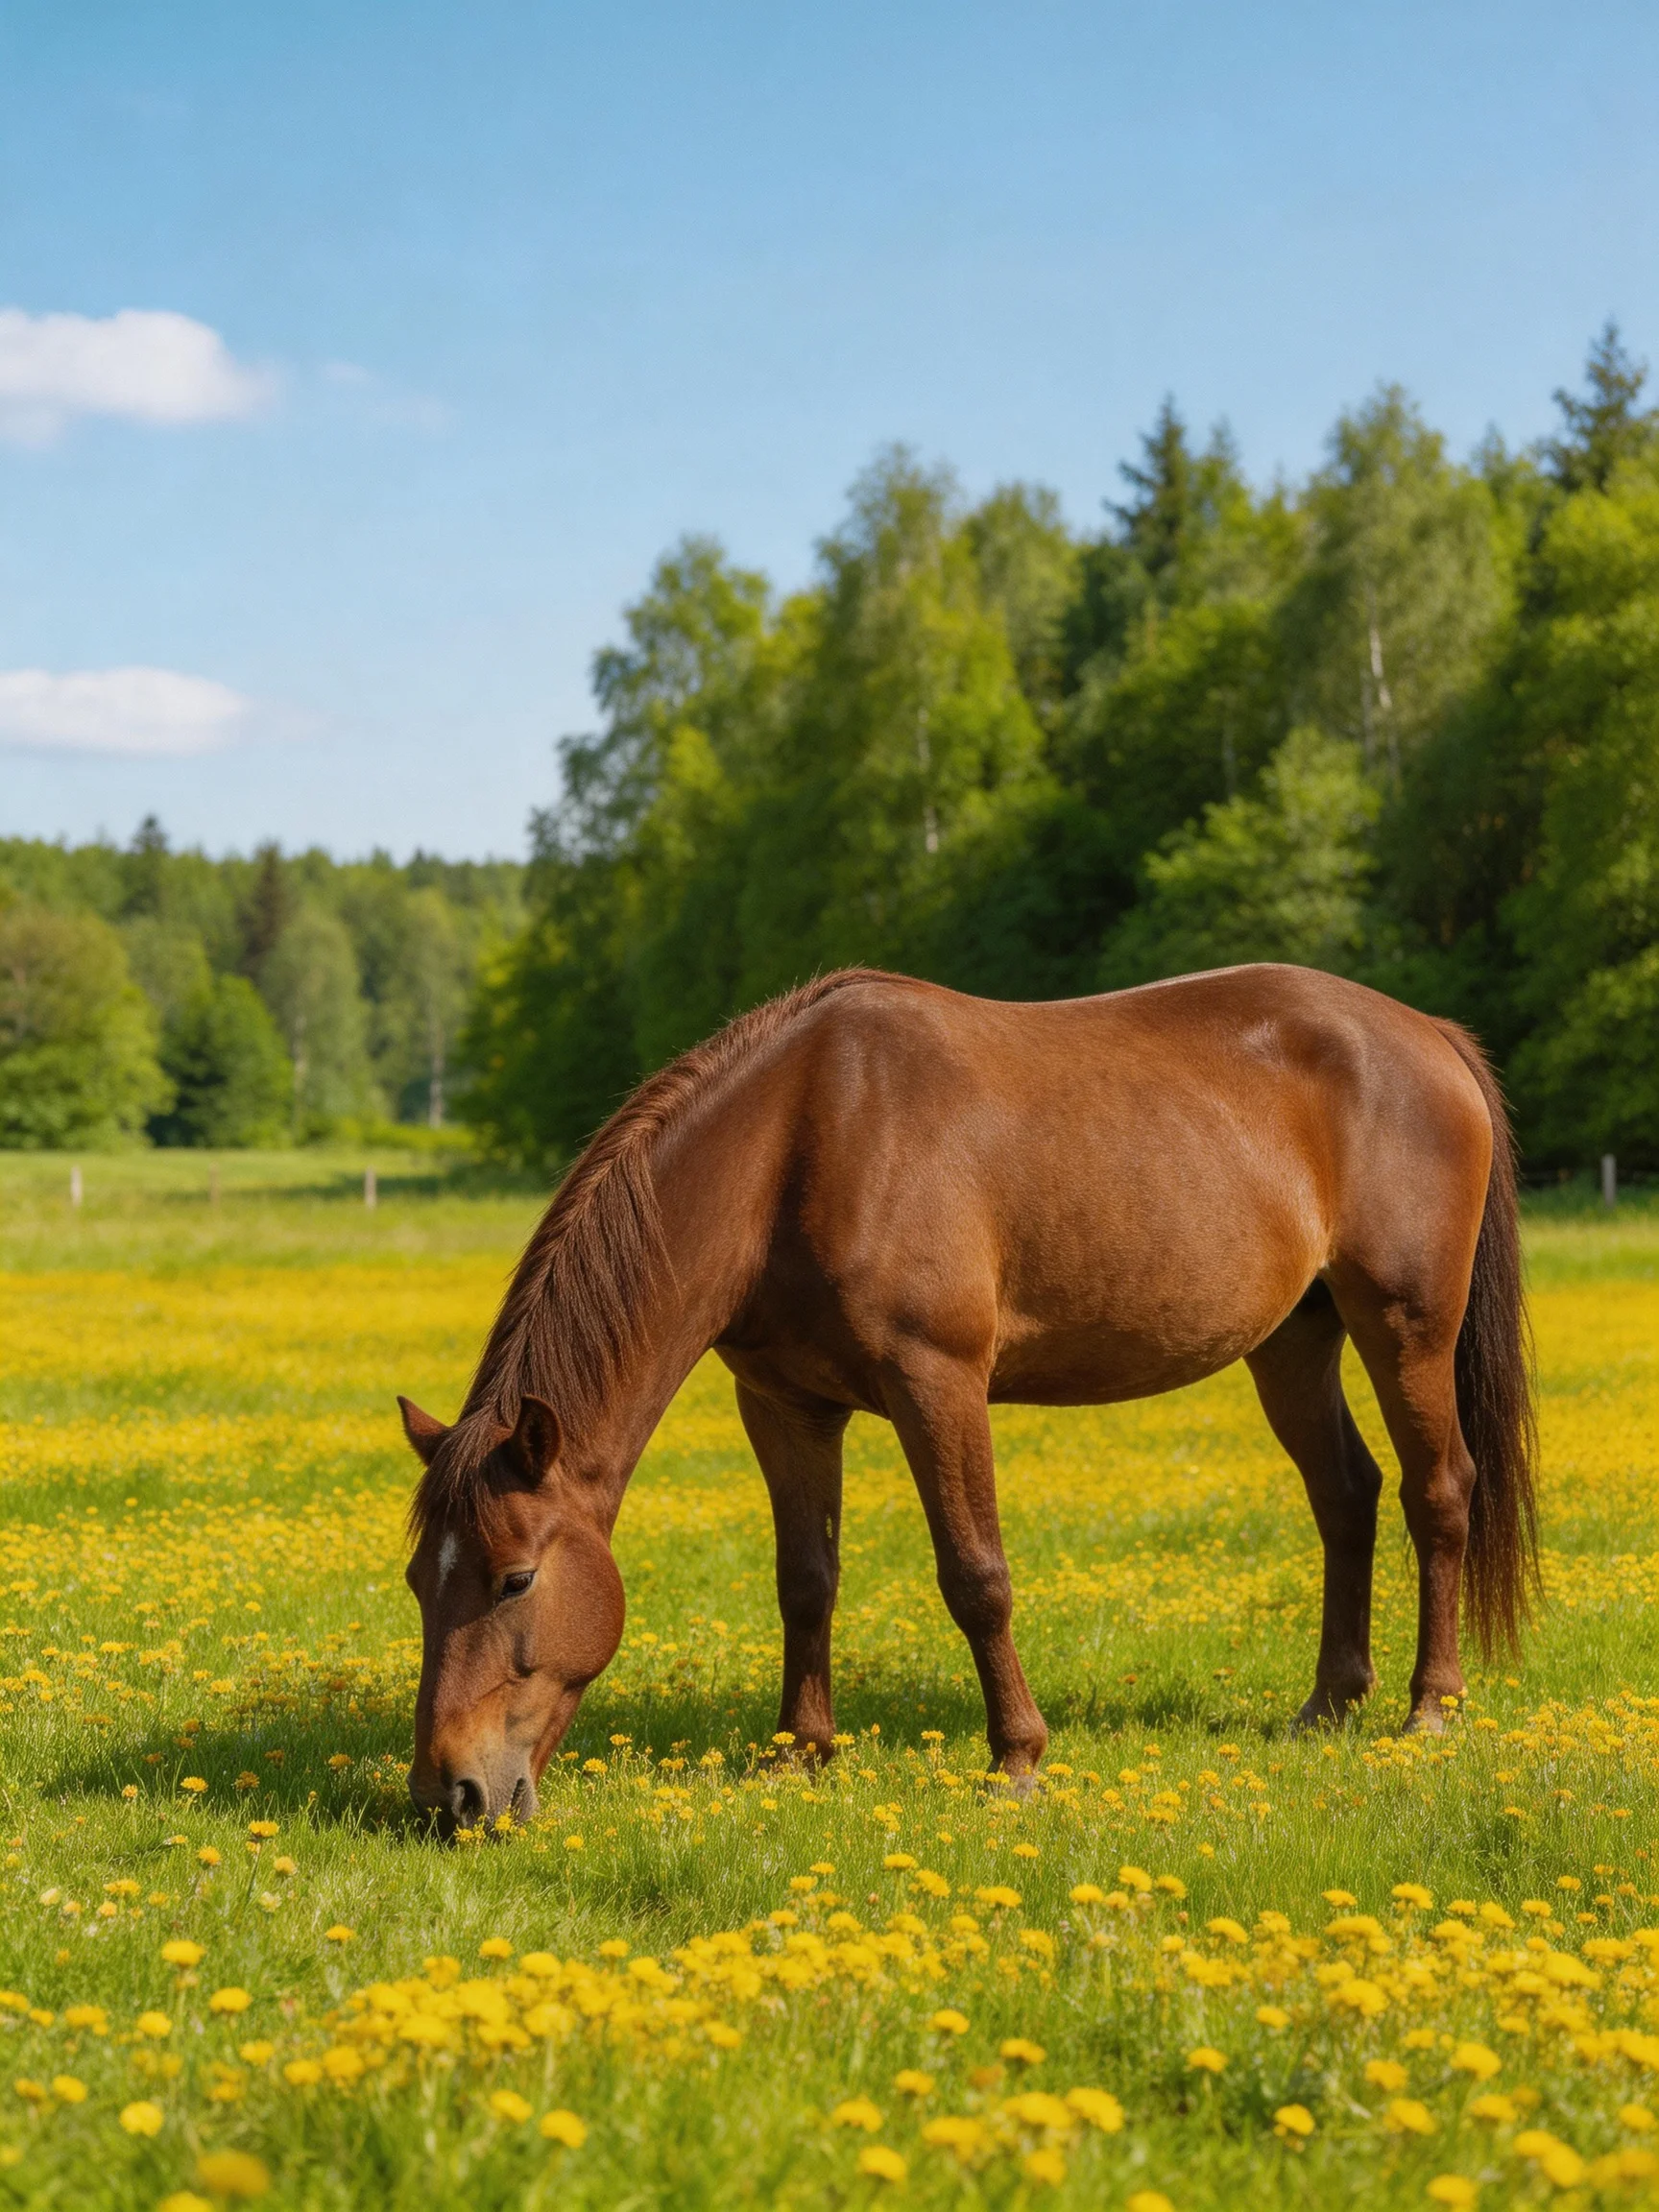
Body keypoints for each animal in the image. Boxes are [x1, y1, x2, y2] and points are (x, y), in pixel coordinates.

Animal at [398, 963, 1536, 1834]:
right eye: (416, 1581)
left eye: (514, 1580)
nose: (449, 1796)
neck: (803, 1142)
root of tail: (1430, 1036)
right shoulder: (784, 1406)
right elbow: (805, 1580)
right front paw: (799, 1750)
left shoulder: (938, 1384)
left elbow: (976, 1576)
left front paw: (1017, 1760)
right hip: (1294, 1340)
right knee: (1346, 1495)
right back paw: (1330, 1703)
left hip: (1406, 1326)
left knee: (1440, 1491)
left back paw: (1429, 1709)